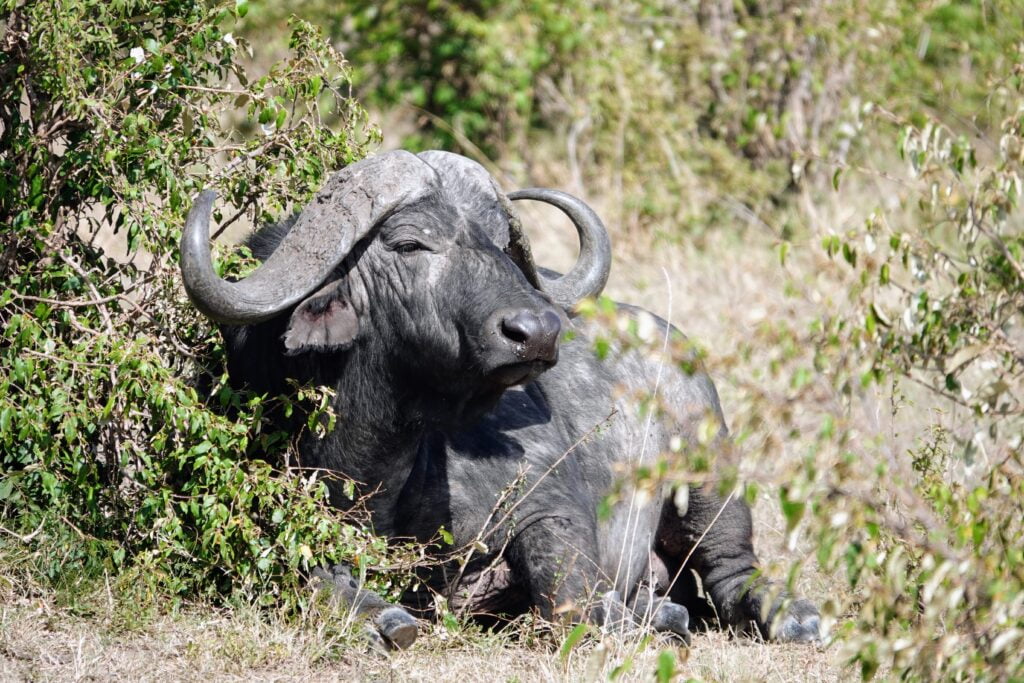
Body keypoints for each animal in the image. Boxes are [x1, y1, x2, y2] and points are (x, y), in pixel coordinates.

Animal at [180, 150, 819, 651]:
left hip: (708, 472)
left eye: (501, 243)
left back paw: (787, 616)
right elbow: (314, 579)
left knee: (733, 569)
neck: (385, 471)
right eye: (409, 243)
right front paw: (378, 616)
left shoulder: (548, 504)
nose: (537, 331)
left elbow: (570, 600)